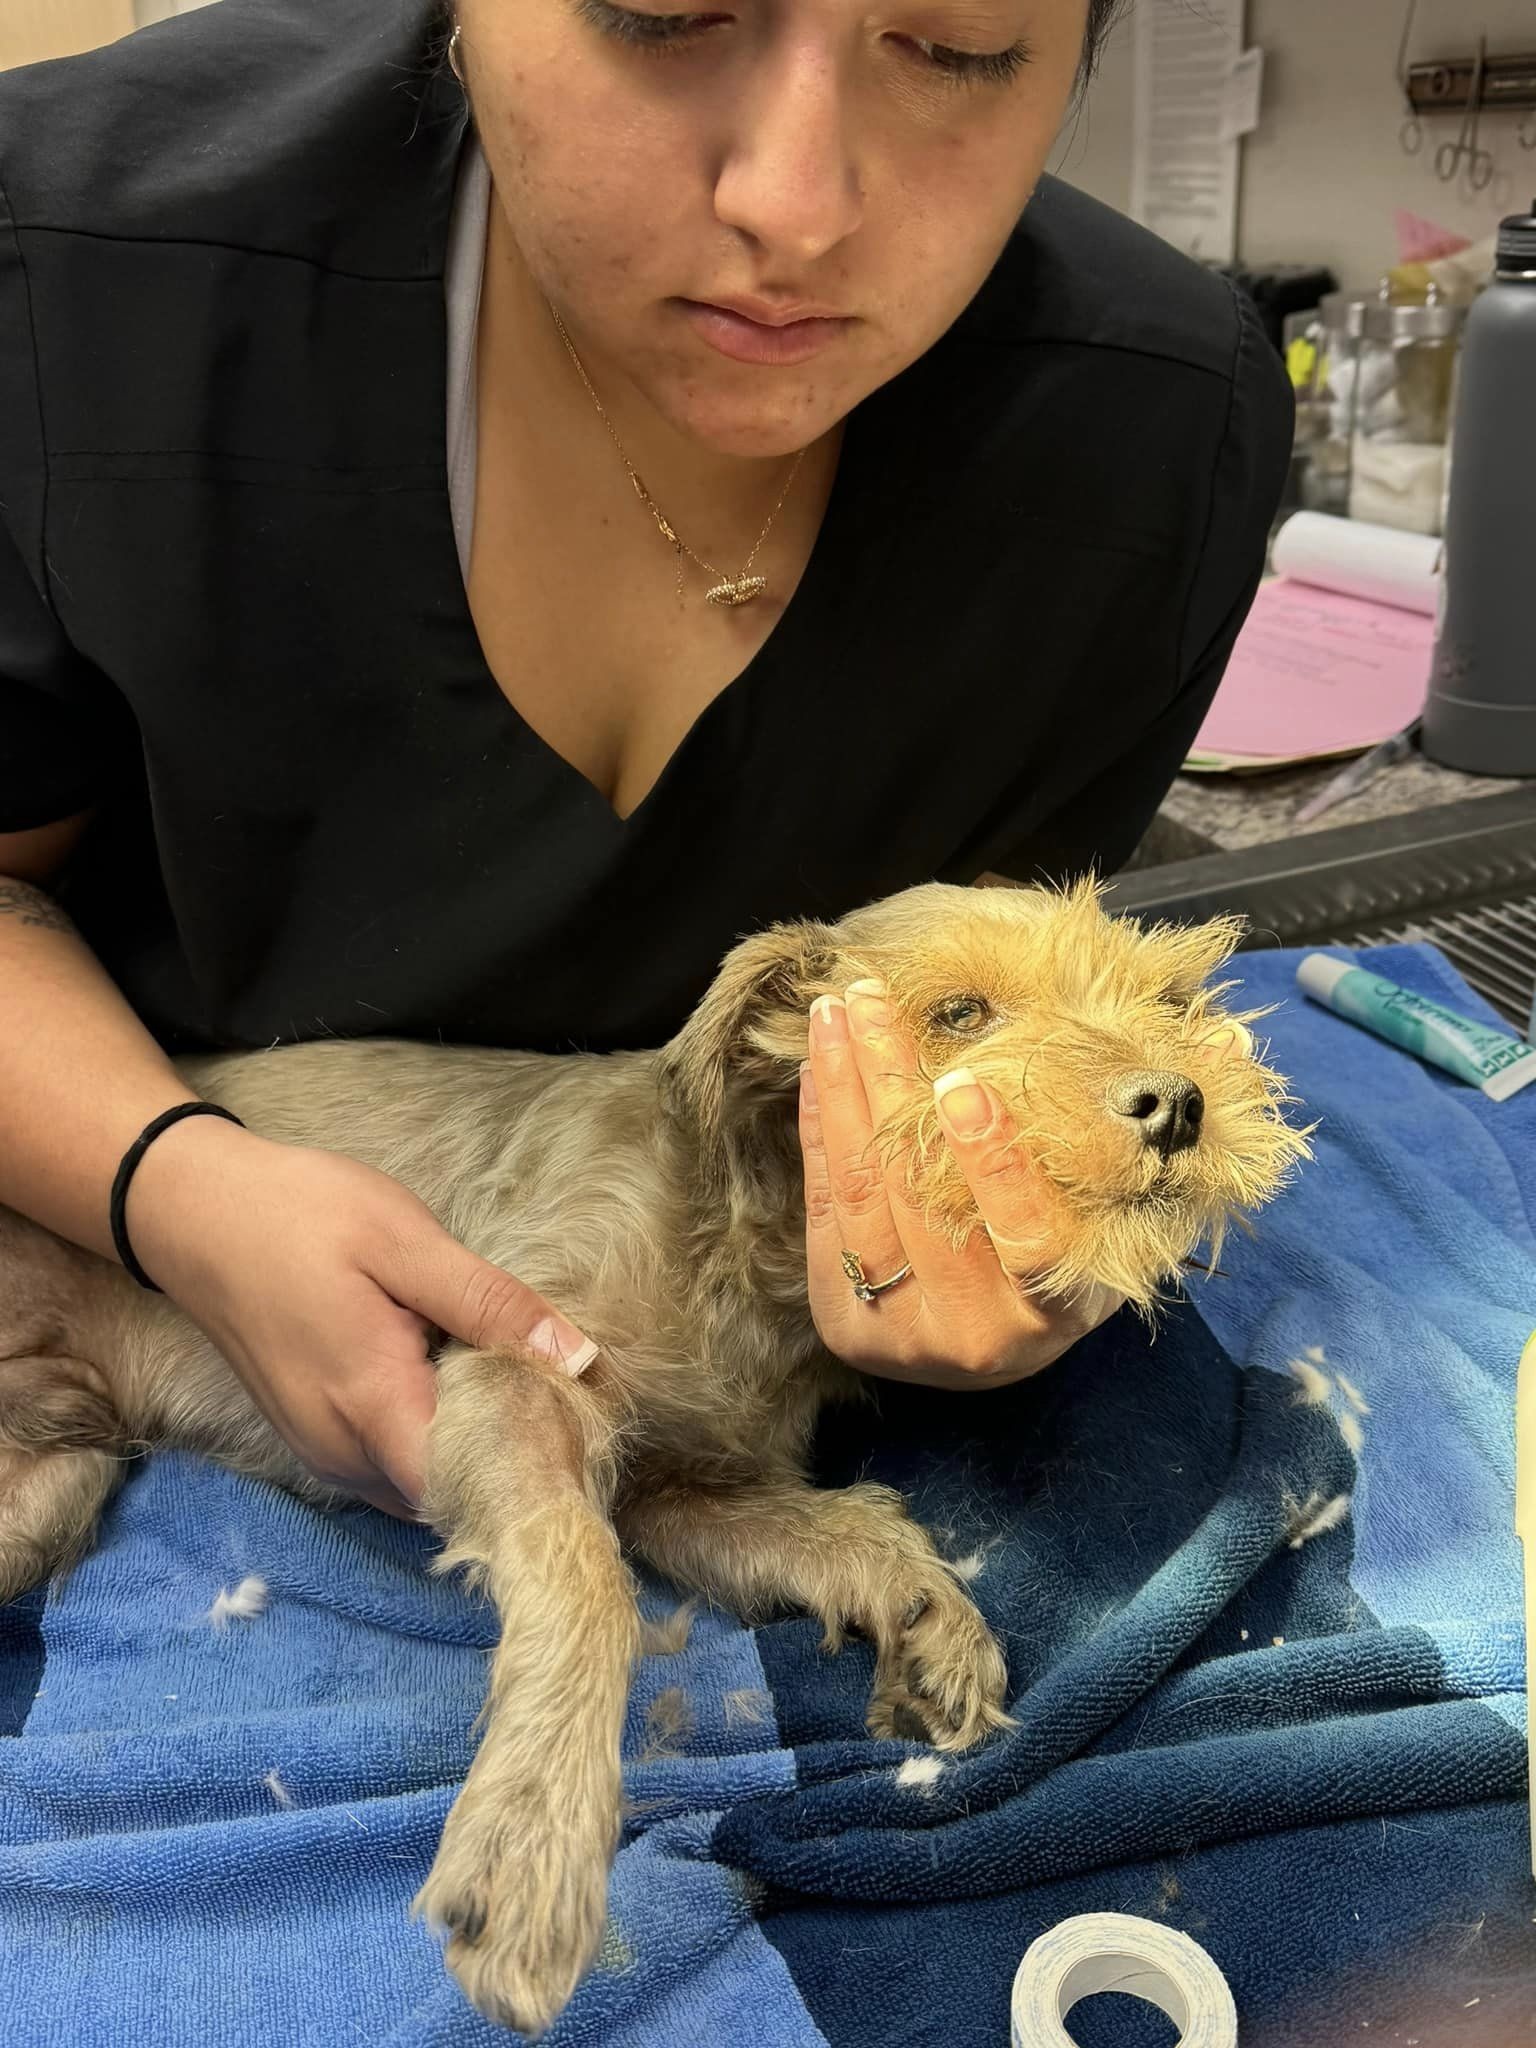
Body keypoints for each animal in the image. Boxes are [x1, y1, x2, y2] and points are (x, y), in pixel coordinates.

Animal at [0, 880, 1310, 2031]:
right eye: (959, 1013)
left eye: (1172, 997)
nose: (1178, 1100)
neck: (747, 1255)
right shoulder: (515, 1373)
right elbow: (590, 1578)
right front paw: (533, 1840)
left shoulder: (687, 1492)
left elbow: (837, 1524)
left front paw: (930, 1614)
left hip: (52, 1480)